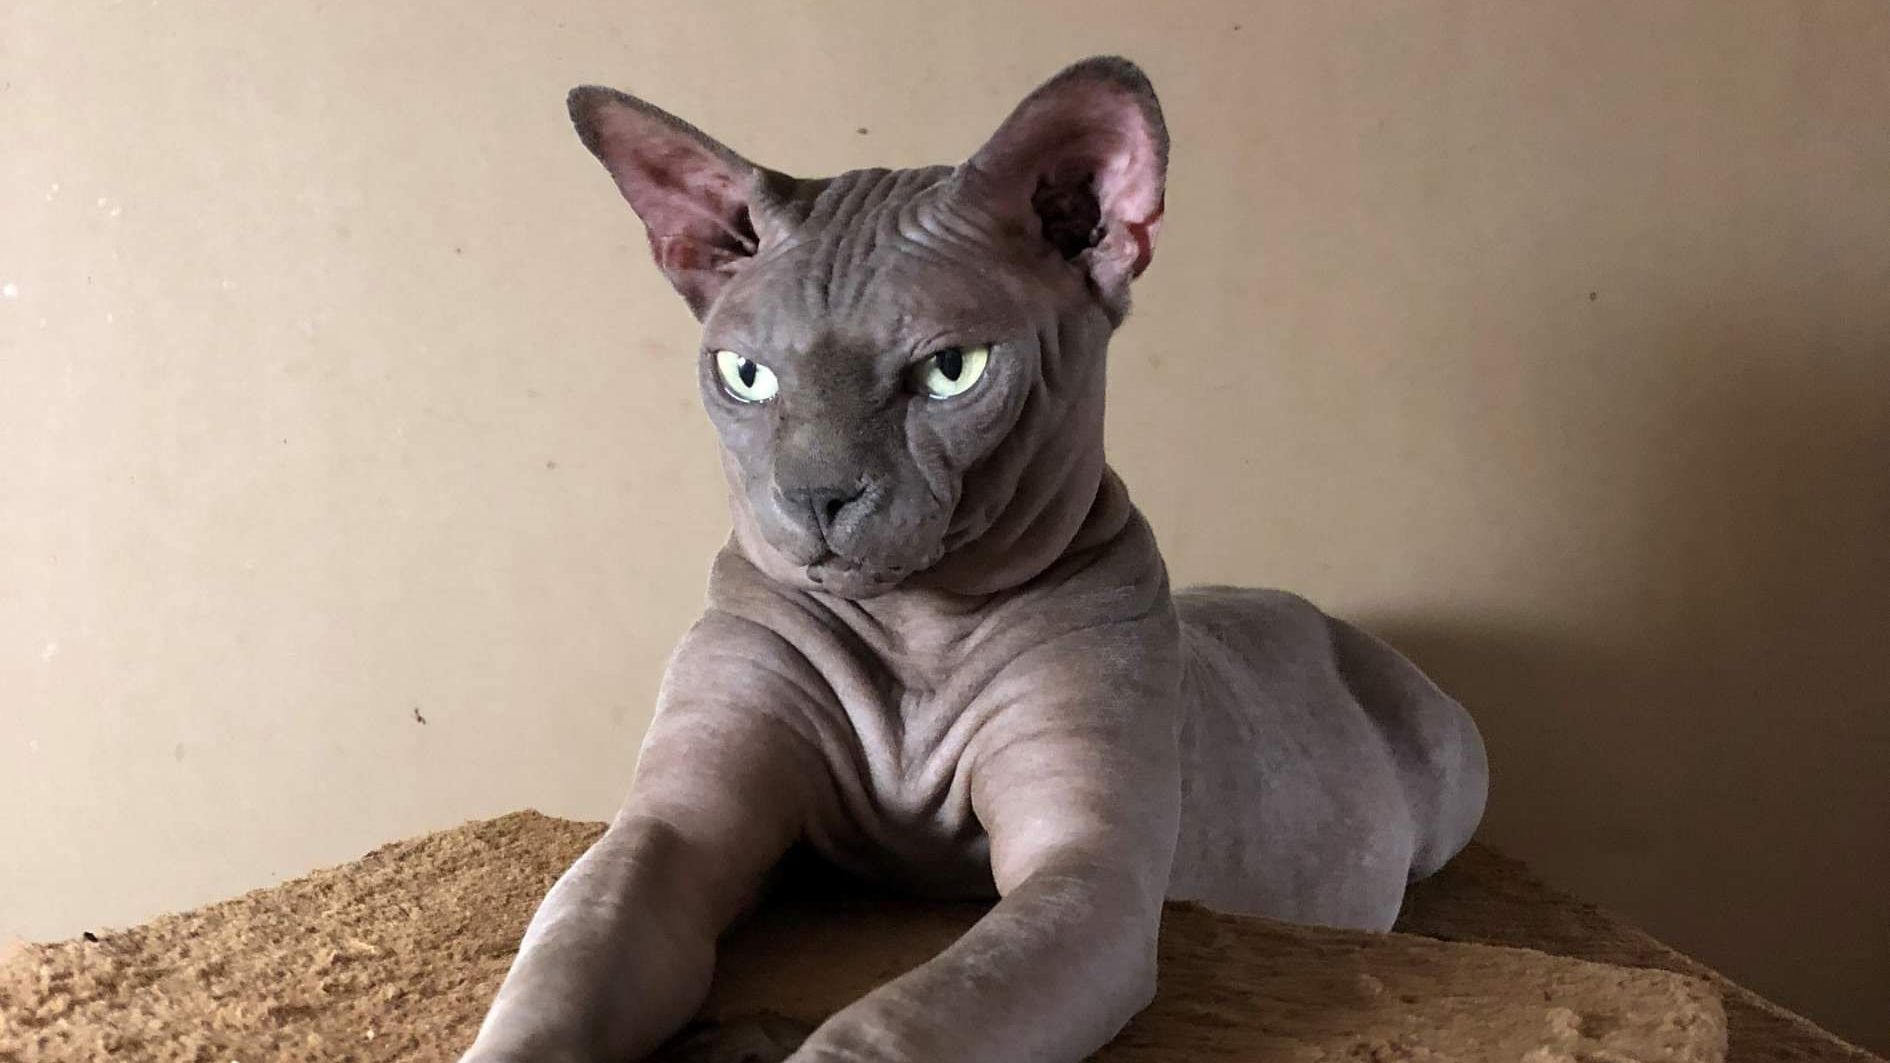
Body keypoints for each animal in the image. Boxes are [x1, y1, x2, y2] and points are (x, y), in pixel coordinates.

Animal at [461, 57, 1489, 1059]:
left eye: (951, 371)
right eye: (745, 376)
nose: (816, 495)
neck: (917, 626)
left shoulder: (1087, 876)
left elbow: (887, 1024)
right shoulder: (672, 829)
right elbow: (557, 974)